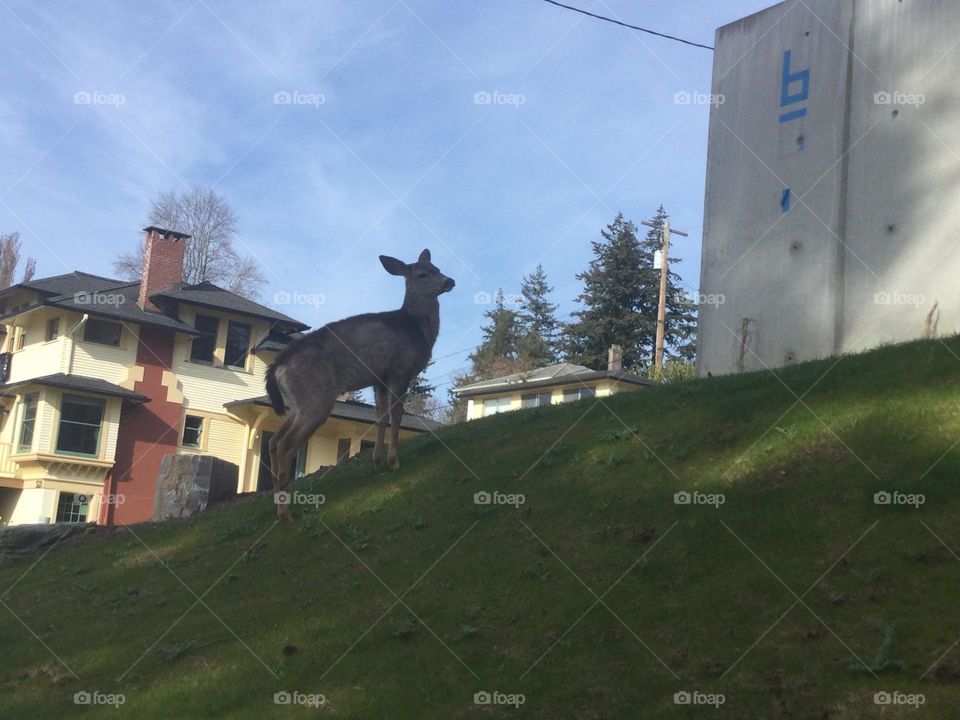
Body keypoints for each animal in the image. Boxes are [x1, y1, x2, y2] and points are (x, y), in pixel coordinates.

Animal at [265, 249, 455, 521]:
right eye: (423, 274)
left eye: (438, 268)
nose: (450, 281)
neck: (417, 328)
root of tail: (278, 366)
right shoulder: (400, 370)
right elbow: (396, 416)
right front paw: (394, 462)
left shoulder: (379, 380)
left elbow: (381, 417)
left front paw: (377, 462)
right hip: (316, 398)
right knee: (285, 445)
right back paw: (285, 514)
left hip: (297, 403)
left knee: (273, 440)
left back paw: (277, 501)